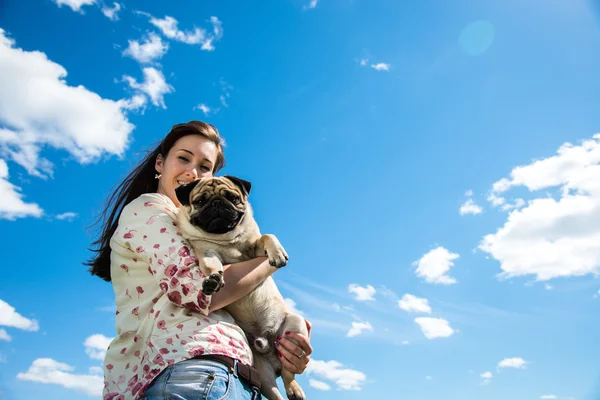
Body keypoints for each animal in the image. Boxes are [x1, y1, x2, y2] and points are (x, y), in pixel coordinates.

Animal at [172, 175, 304, 400]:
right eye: (200, 201)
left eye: (233, 198)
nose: (216, 203)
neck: (225, 240)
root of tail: (268, 347)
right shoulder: (206, 252)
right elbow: (211, 266)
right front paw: (212, 279)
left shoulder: (256, 250)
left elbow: (267, 236)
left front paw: (277, 253)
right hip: (263, 373)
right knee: (275, 390)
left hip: (295, 327)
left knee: (289, 374)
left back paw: (295, 389)